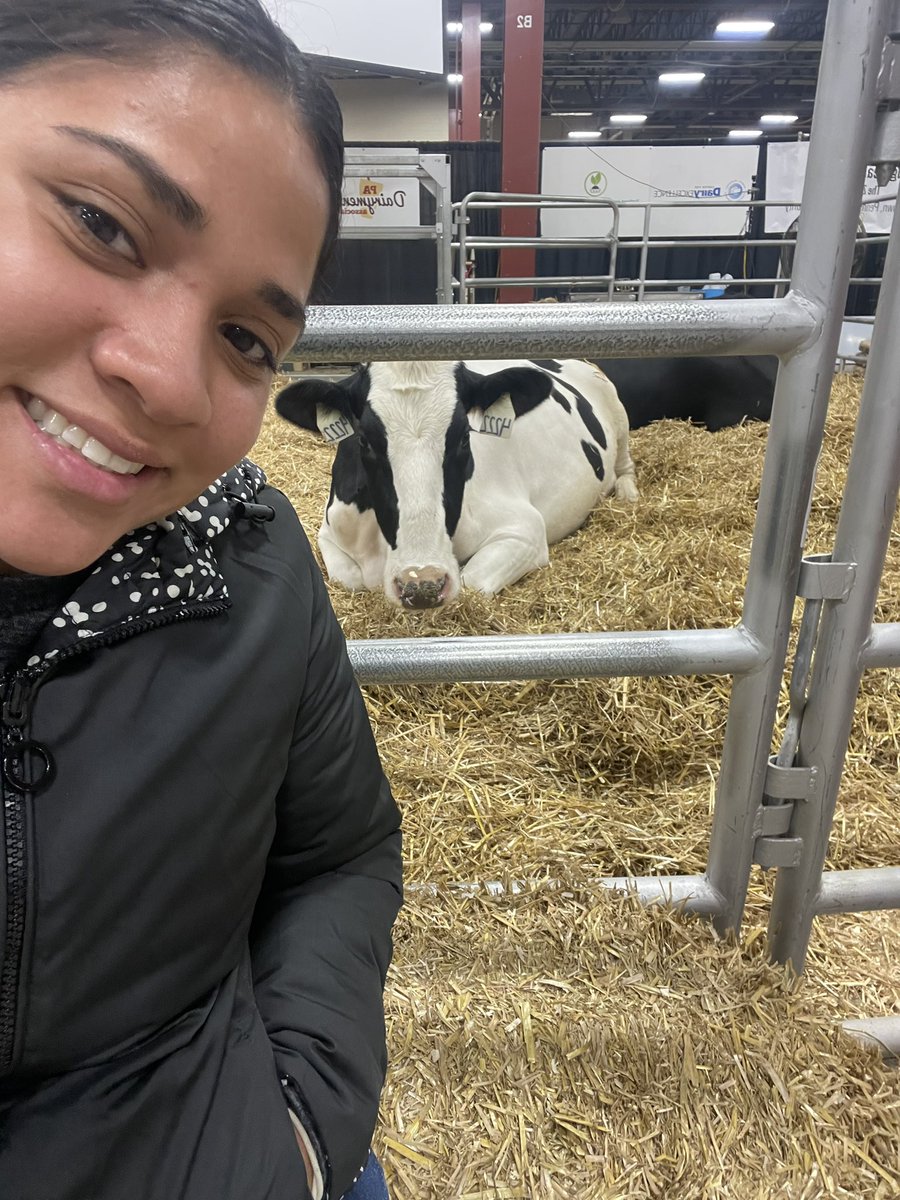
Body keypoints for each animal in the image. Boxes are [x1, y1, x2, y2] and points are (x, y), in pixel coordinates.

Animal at [278, 350, 638, 604]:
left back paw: (628, 494)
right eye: (363, 440)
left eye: (465, 436)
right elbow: (349, 580)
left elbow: (470, 582)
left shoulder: (525, 529)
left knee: (625, 464)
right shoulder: (329, 533)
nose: (421, 583)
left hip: (617, 410)